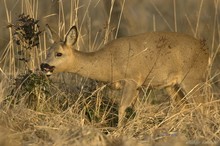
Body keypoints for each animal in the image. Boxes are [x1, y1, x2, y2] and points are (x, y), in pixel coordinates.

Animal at [40, 24, 209, 126]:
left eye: (59, 53)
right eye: (47, 51)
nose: (44, 65)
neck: (109, 62)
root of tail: (205, 51)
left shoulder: (132, 79)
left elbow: (121, 108)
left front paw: (119, 131)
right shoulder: (136, 86)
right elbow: (136, 109)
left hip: (192, 78)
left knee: (201, 105)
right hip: (171, 85)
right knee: (183, 105)